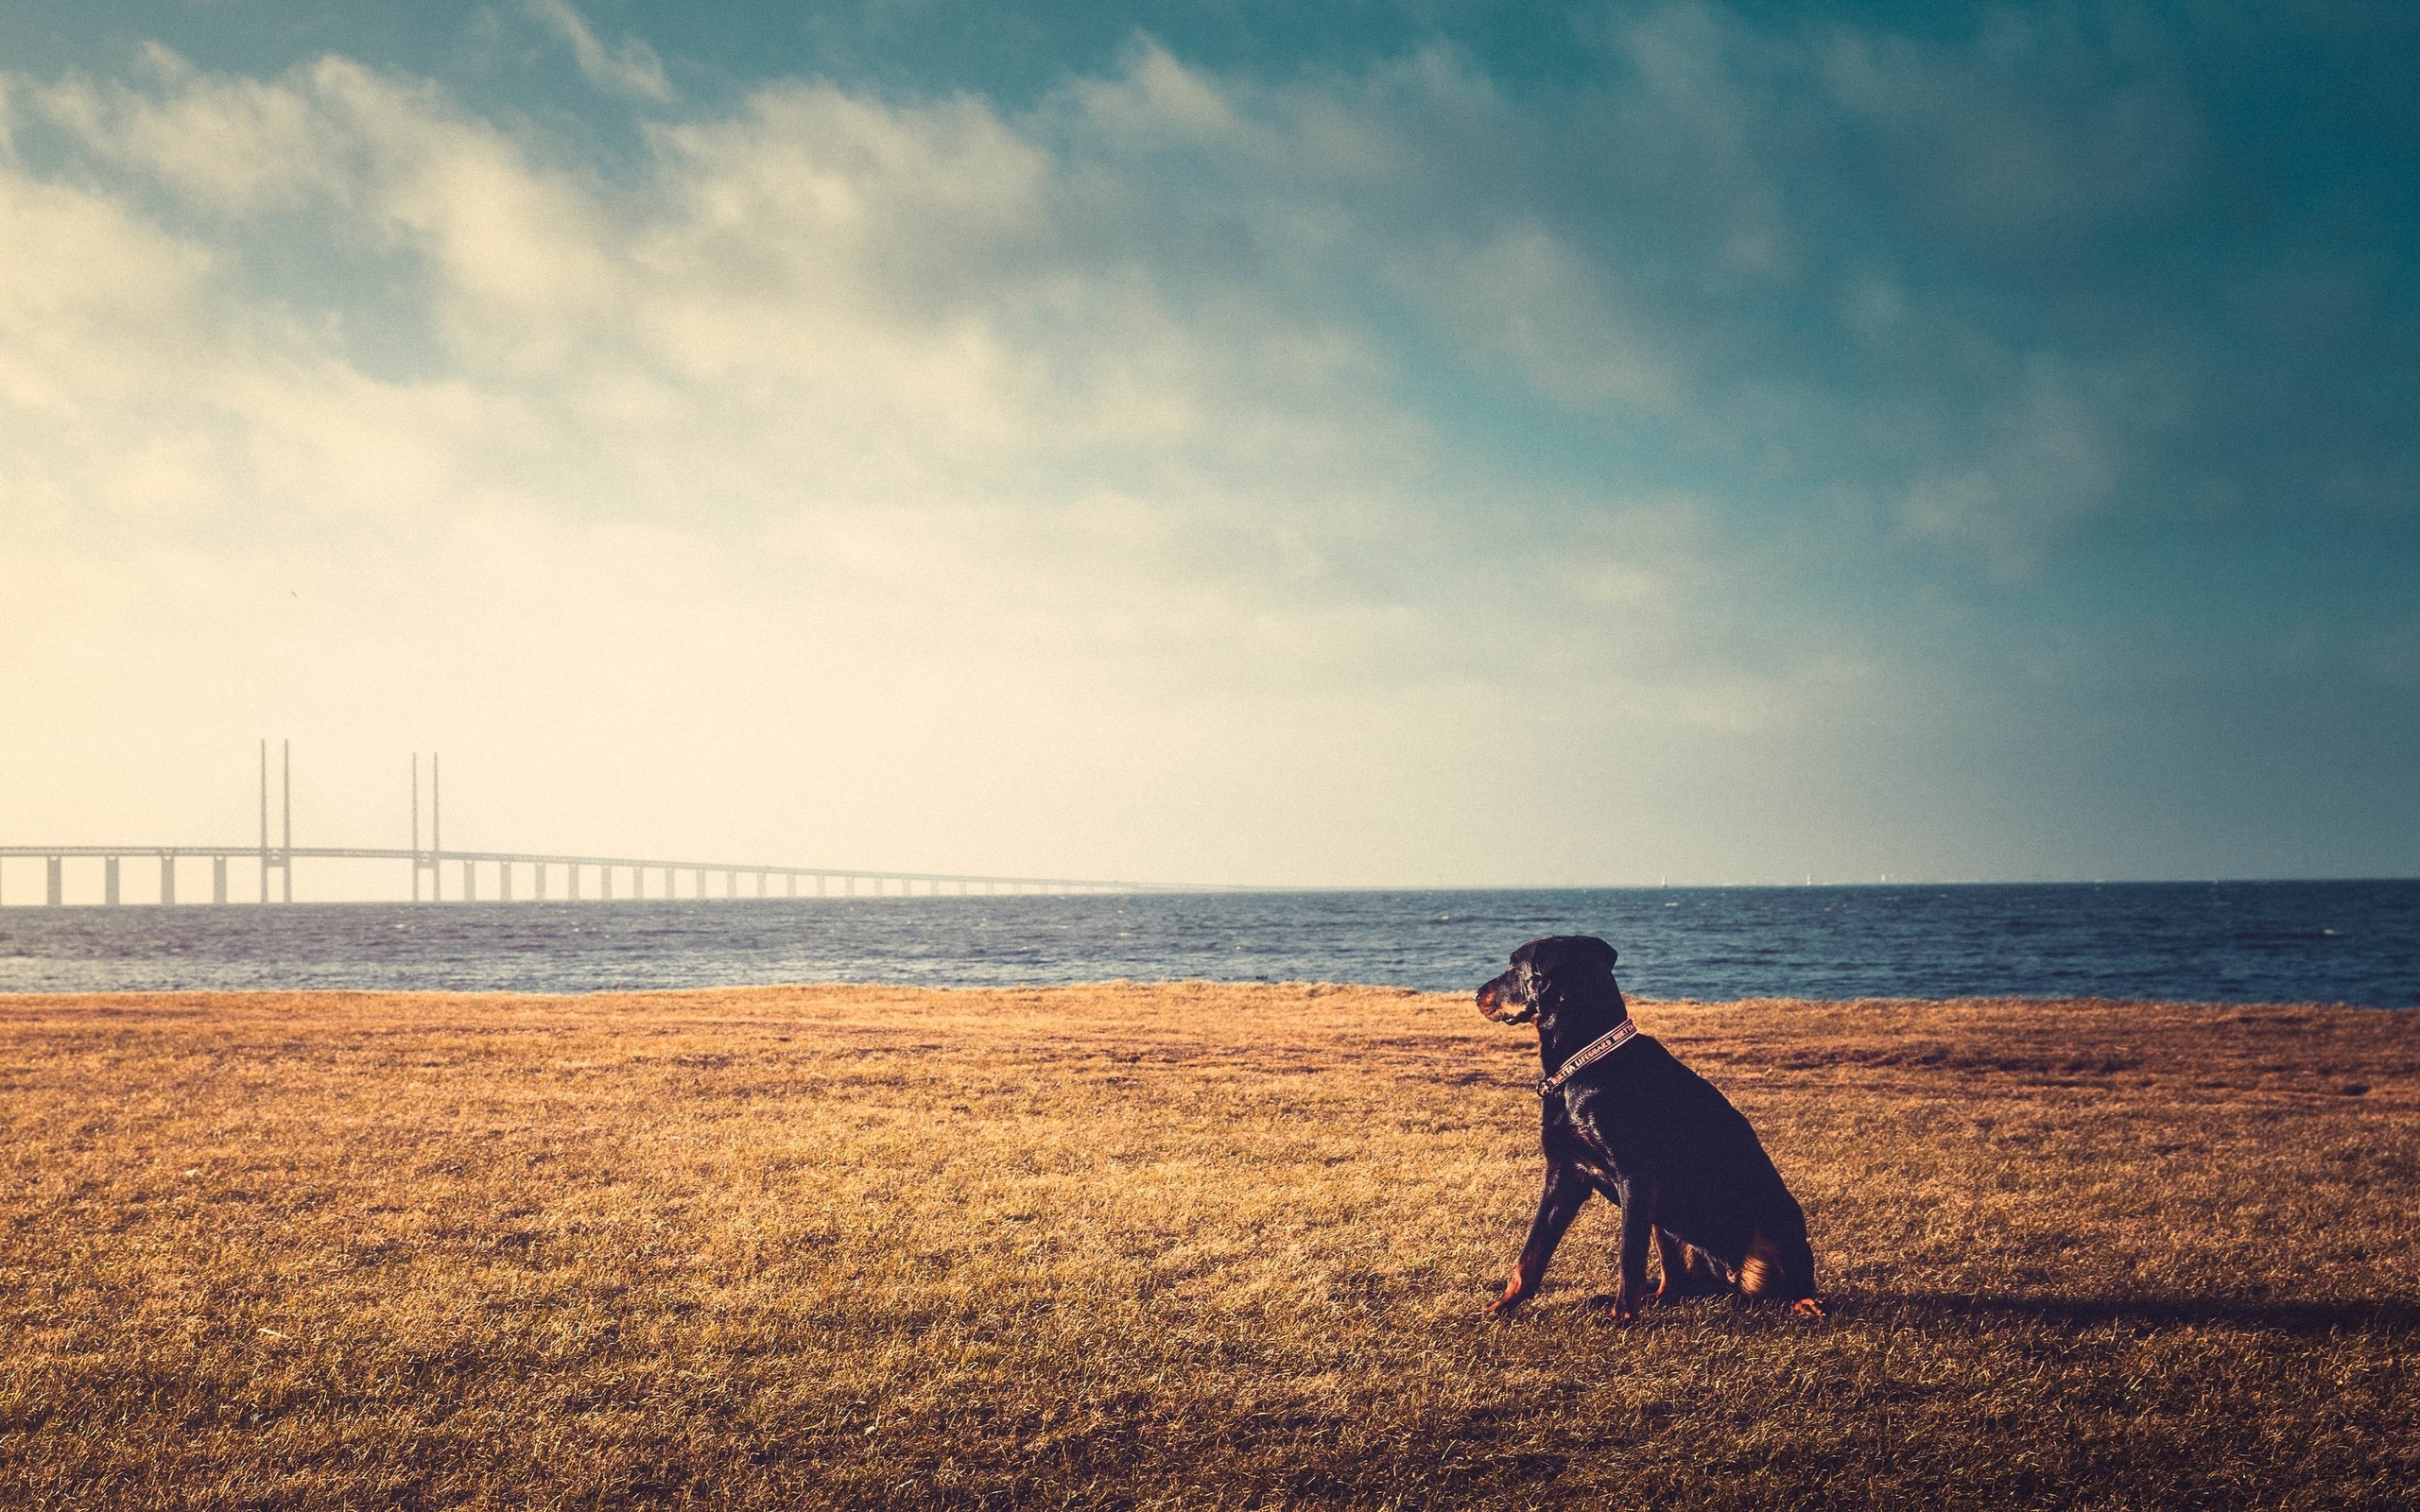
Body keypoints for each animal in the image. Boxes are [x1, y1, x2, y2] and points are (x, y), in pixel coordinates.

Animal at [1471, 938, 1820, 1315]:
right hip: (1665, 1225)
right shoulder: (1564, 1173)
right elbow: (1531, 1254)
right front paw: (1500, 1307)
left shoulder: (1634, 1177)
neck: (1586, 1060)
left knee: (1795, 1278)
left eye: (1514, 965)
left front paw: (1622, 1316)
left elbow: (1628, 1257)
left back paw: (1805, 1303)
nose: (1475, 994)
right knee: (1674, 1282)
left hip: (1777, 1216)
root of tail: (1730, 1281)